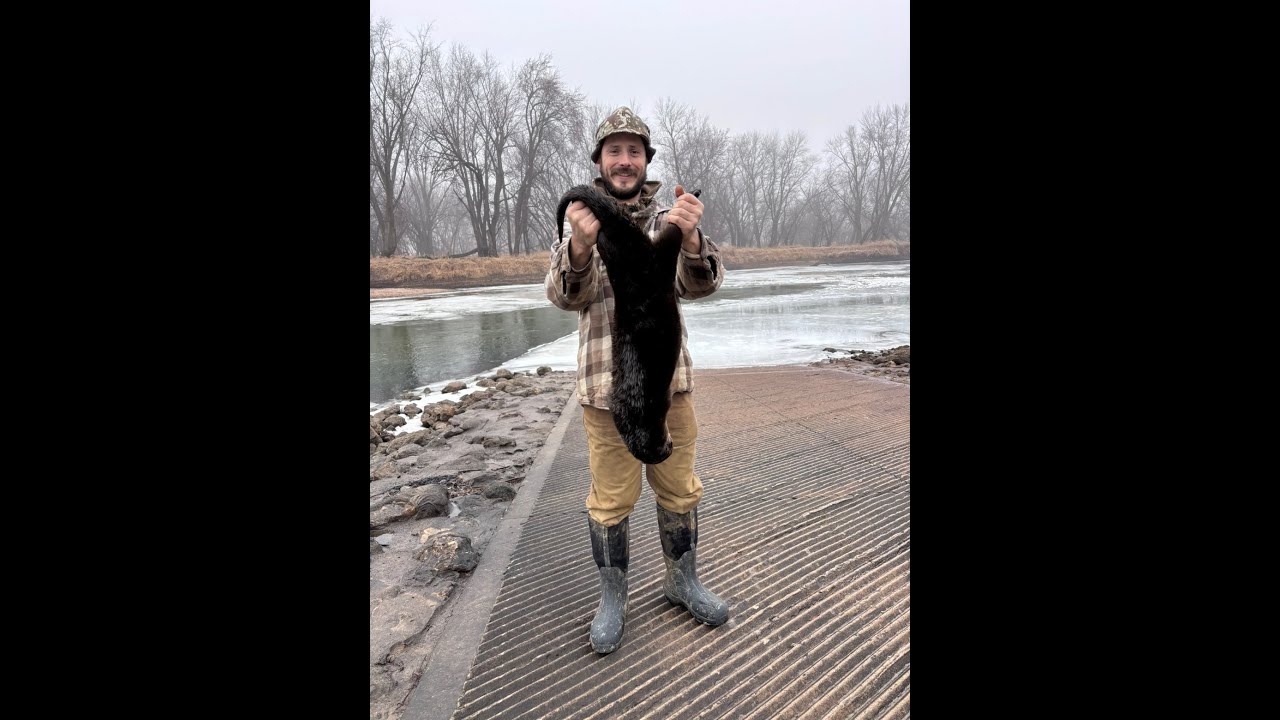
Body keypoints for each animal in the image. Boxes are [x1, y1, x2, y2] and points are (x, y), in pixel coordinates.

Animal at [555, 185, 700, 465]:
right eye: (668, 445)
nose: (670, 446)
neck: (639, 411)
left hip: (636, 253)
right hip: (660, 257)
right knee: (673, 231)